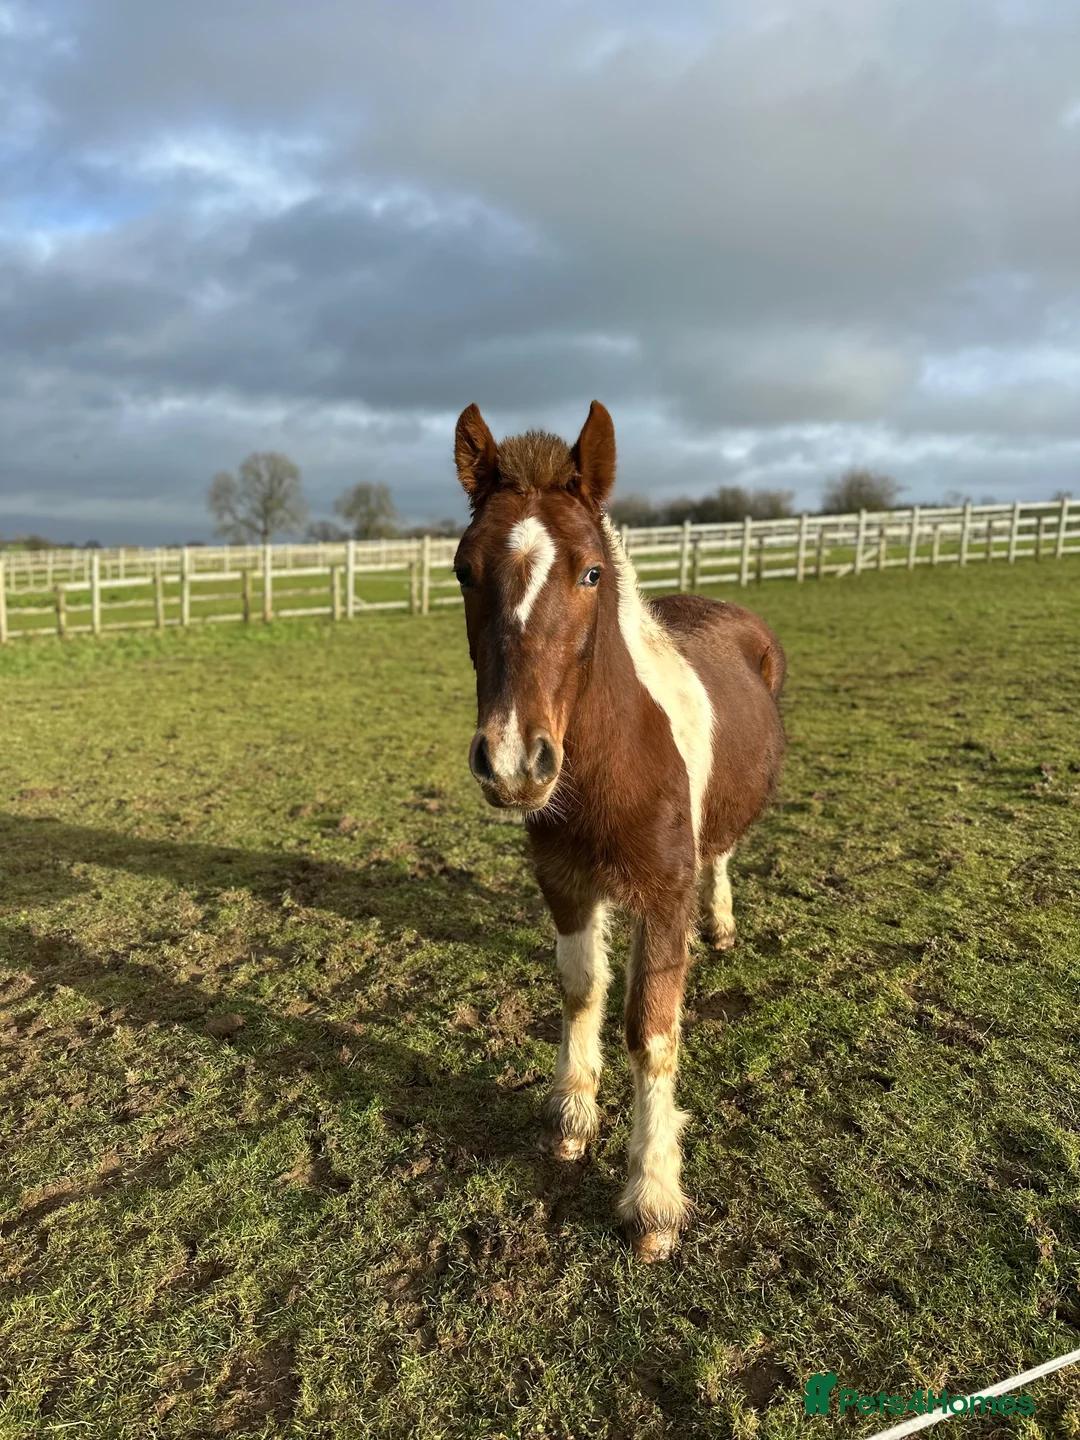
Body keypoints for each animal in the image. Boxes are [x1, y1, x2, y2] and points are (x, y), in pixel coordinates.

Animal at [452, 400, 786, 1261]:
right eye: (464, 570)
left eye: (591, 572)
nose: (514, 761)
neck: (612, 764)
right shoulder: (566, 885)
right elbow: (581, 988)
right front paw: (572, 1117)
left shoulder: (661, 898)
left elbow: (651, 1031)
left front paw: (654, 1198)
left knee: (721, 852)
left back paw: (721, 925)